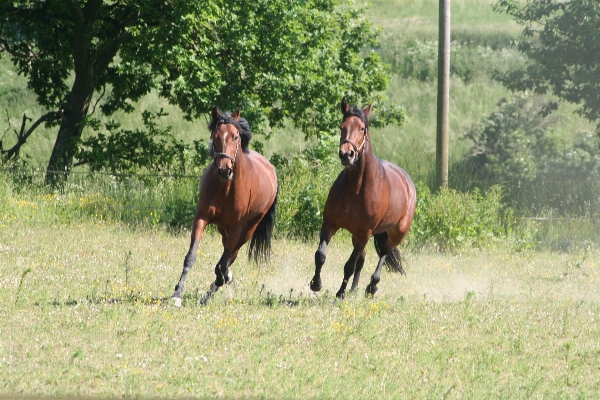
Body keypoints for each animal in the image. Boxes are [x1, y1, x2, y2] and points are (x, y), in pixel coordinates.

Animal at [171, 106, 278, 306]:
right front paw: (177, 294)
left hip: (248, 229)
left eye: (235, 136)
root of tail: (271, 169)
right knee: (227, 254)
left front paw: (221, 280)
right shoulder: (201, 218)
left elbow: (221, 264)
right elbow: (191, 256)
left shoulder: (237, 228)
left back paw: (215, 287)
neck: (226, 187)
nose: (224, 170)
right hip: (223, 228)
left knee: (231, 255)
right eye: (215, 136)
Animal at [312, 98, 414, 298]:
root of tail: (407, 181)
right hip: (357, 235)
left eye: (362, 128)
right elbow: (320, 255)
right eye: (342, 126)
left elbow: (349, 266)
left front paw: (340, 294)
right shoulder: (330, 223)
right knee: (363, 259)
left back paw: (372, 286)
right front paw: (316, 284)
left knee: (383, 253)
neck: (356, 189)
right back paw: (353, 290)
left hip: (395, 233)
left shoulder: (365, 232)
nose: (346, 154)